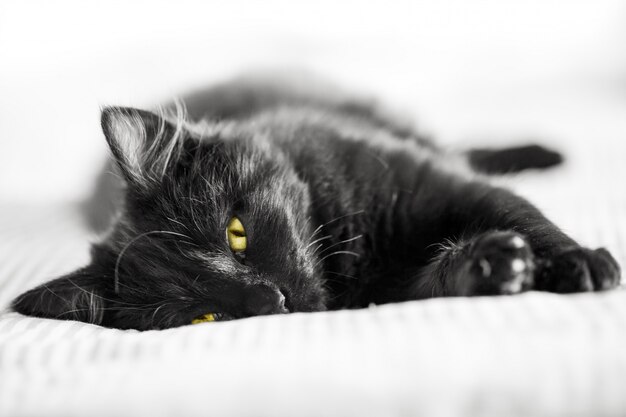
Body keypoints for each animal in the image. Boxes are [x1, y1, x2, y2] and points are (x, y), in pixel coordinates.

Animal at [11, 76, 620, 326]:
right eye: (203, 317)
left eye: (236, 233)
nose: (271, 300)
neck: (350, 265)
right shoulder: (393, 293)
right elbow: (438, 279)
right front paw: (492, 265)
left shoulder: (440, 184)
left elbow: (524, 216)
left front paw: (580, 263)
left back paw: (544, 153)